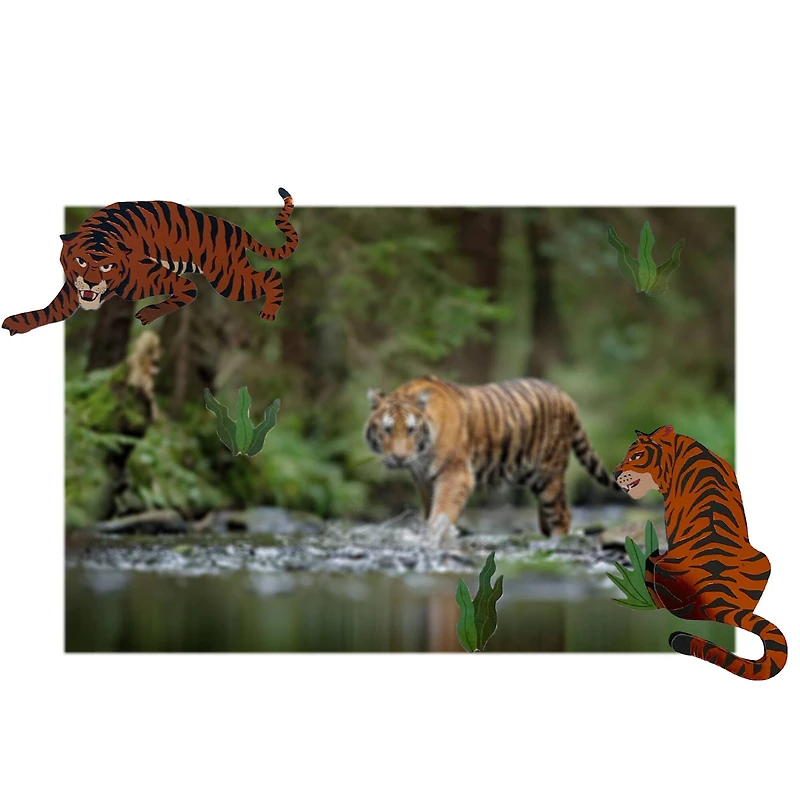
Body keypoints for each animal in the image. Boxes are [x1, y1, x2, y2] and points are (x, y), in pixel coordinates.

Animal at [2, 188, 297, 336]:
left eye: (107, 266)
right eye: (80, 261)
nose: (91, 283)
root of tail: (236, 229)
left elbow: (188, 291)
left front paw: (147, 314)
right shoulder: (71, 291)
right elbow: (49, 311)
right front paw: (16, 322)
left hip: (227, 276)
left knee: (272, 275)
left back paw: (269, 312)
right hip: (232, 272)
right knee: (269, 274)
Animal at [364, 375, 620, 538]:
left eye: (411, 429)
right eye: (387, 429)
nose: (399, 457)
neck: (422, 454)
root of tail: (565, 396)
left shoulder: (455, 474)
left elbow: (442, 513)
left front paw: (436, 536)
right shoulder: (425, 481)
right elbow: (429, 512)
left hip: (549, 475)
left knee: (562, 514)